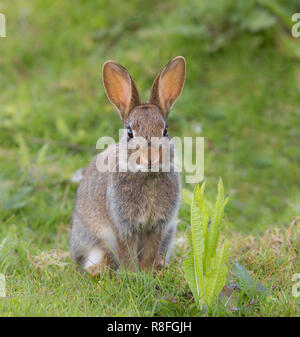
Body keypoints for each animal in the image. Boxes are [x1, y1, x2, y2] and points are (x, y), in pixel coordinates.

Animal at [69, 55, 185, 276]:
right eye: (130, 132)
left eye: (165, 131)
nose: (151, 158)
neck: (148, 176)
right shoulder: (123, 225)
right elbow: (127, 251)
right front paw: (132, 274)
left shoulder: (160, 225)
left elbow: (150, 251)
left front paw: (147, 272)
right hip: (92, 241)